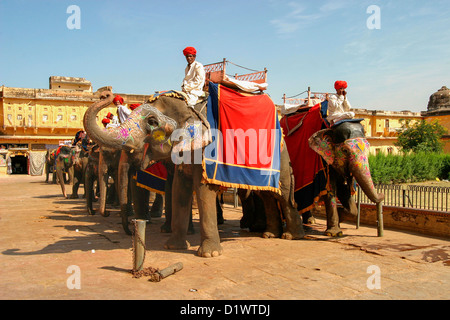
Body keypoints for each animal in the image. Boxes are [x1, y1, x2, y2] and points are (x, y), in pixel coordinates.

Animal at [82, 87, 304, 258]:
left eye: (152, 122)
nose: (107, 94)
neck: (189, 109)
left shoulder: (207, 152)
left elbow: (203, 190)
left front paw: (209, 254)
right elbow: (180, 188)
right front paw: (173, 246)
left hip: (281, 157)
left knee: (282, 194)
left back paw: (291, 236)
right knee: (267, 195)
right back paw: (269, 234)